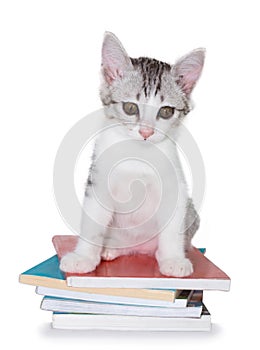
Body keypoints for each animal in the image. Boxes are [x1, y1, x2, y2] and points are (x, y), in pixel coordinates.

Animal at [60, 32, 204, 276]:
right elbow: (93, 222)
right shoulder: (98, 182)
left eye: (166, 111)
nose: (146, 132)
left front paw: (173, 259)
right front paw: (84, 257)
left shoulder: (175, 188)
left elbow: (172, 226)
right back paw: (110, 249)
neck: (137, 156)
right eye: (130, 108)